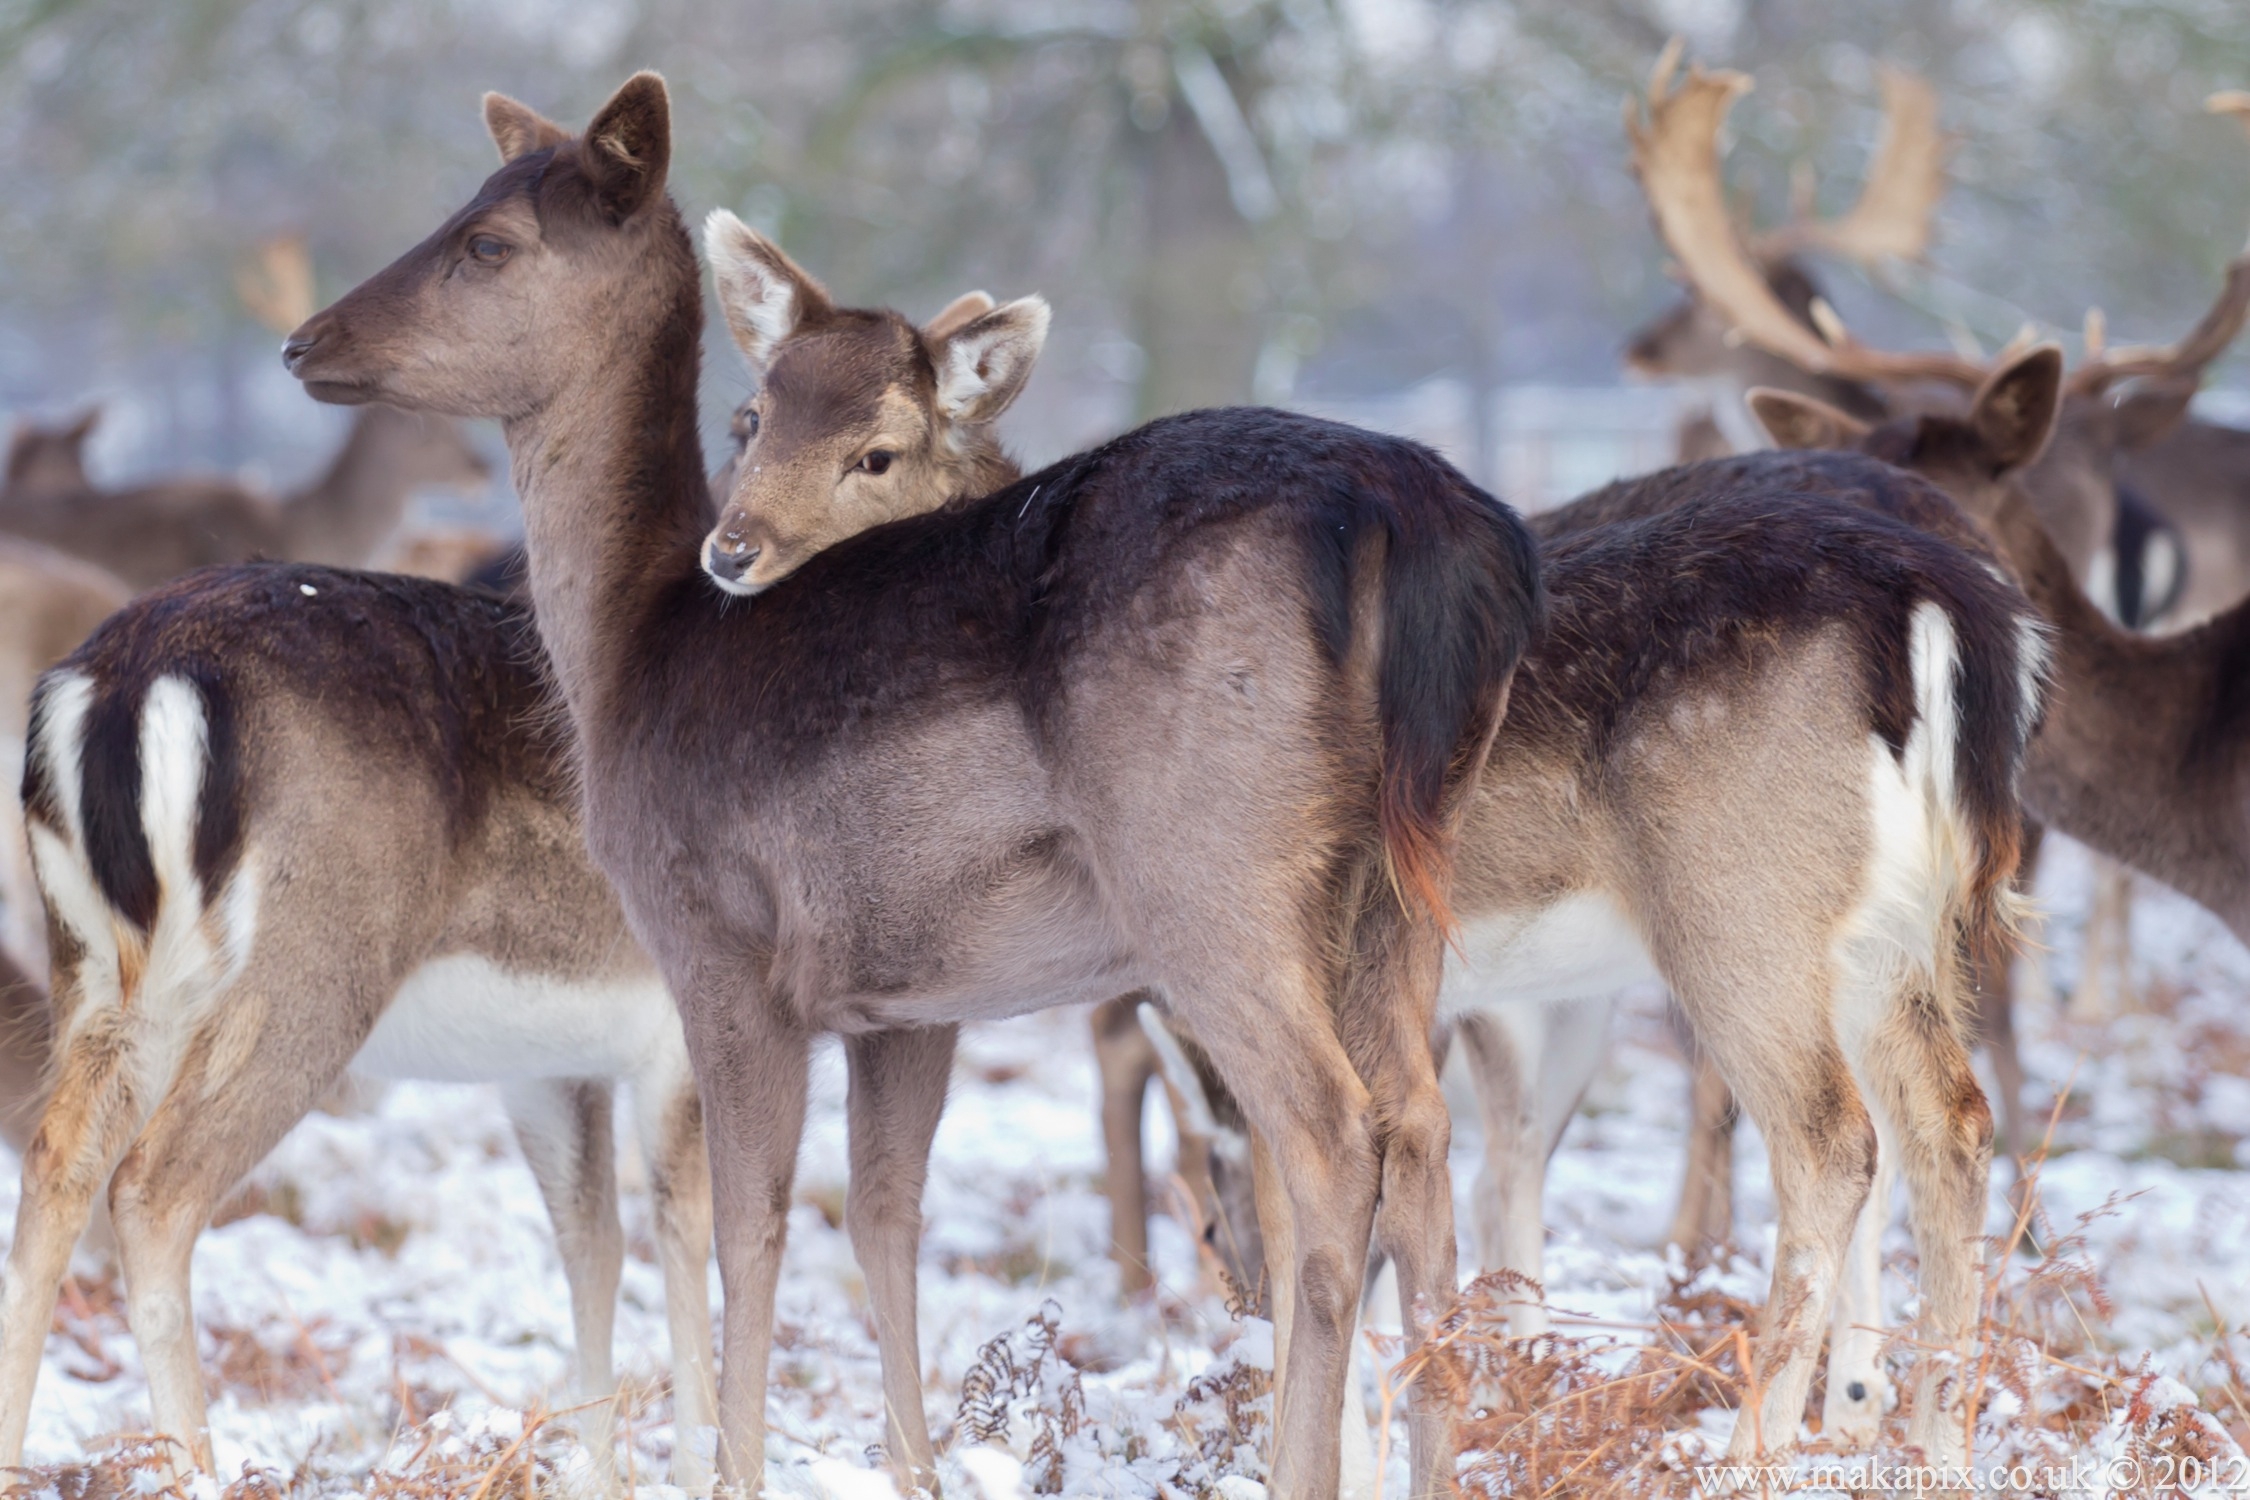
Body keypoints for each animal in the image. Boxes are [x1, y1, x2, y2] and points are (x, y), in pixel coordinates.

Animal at [0, 562, 715, 1493]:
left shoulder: (548, 1067)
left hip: (98, 974)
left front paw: (594, 1469)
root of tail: (118, 691)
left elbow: (594, 1244)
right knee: (154, 1187)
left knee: (54, 1163)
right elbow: (710, 1245)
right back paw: (198, 1465)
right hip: (306, 974)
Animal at [276, 73, 1548, 1500]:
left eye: (488, 241)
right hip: (1403, 876)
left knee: (1330, 1133)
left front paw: (739, 1470)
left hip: (1209, 867)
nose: (306, 340)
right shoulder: (907, 998)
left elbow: (751, 1225)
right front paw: (918, 1466)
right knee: (1424, 1128)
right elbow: (885, 1212)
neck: (625, 663)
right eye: (749, 419)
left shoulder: (720, 946)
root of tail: (1423, 517)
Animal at [688, 193, 2043, 1475]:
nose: (734, 552)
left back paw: (1758, 1449)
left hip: (1739, 900)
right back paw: (1937, 1448)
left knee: (1830, 1141)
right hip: (1895, 927)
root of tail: (1958, 608)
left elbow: (1316, 1202)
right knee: (1951, 1122)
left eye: (878, 452)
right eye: (746, 420)